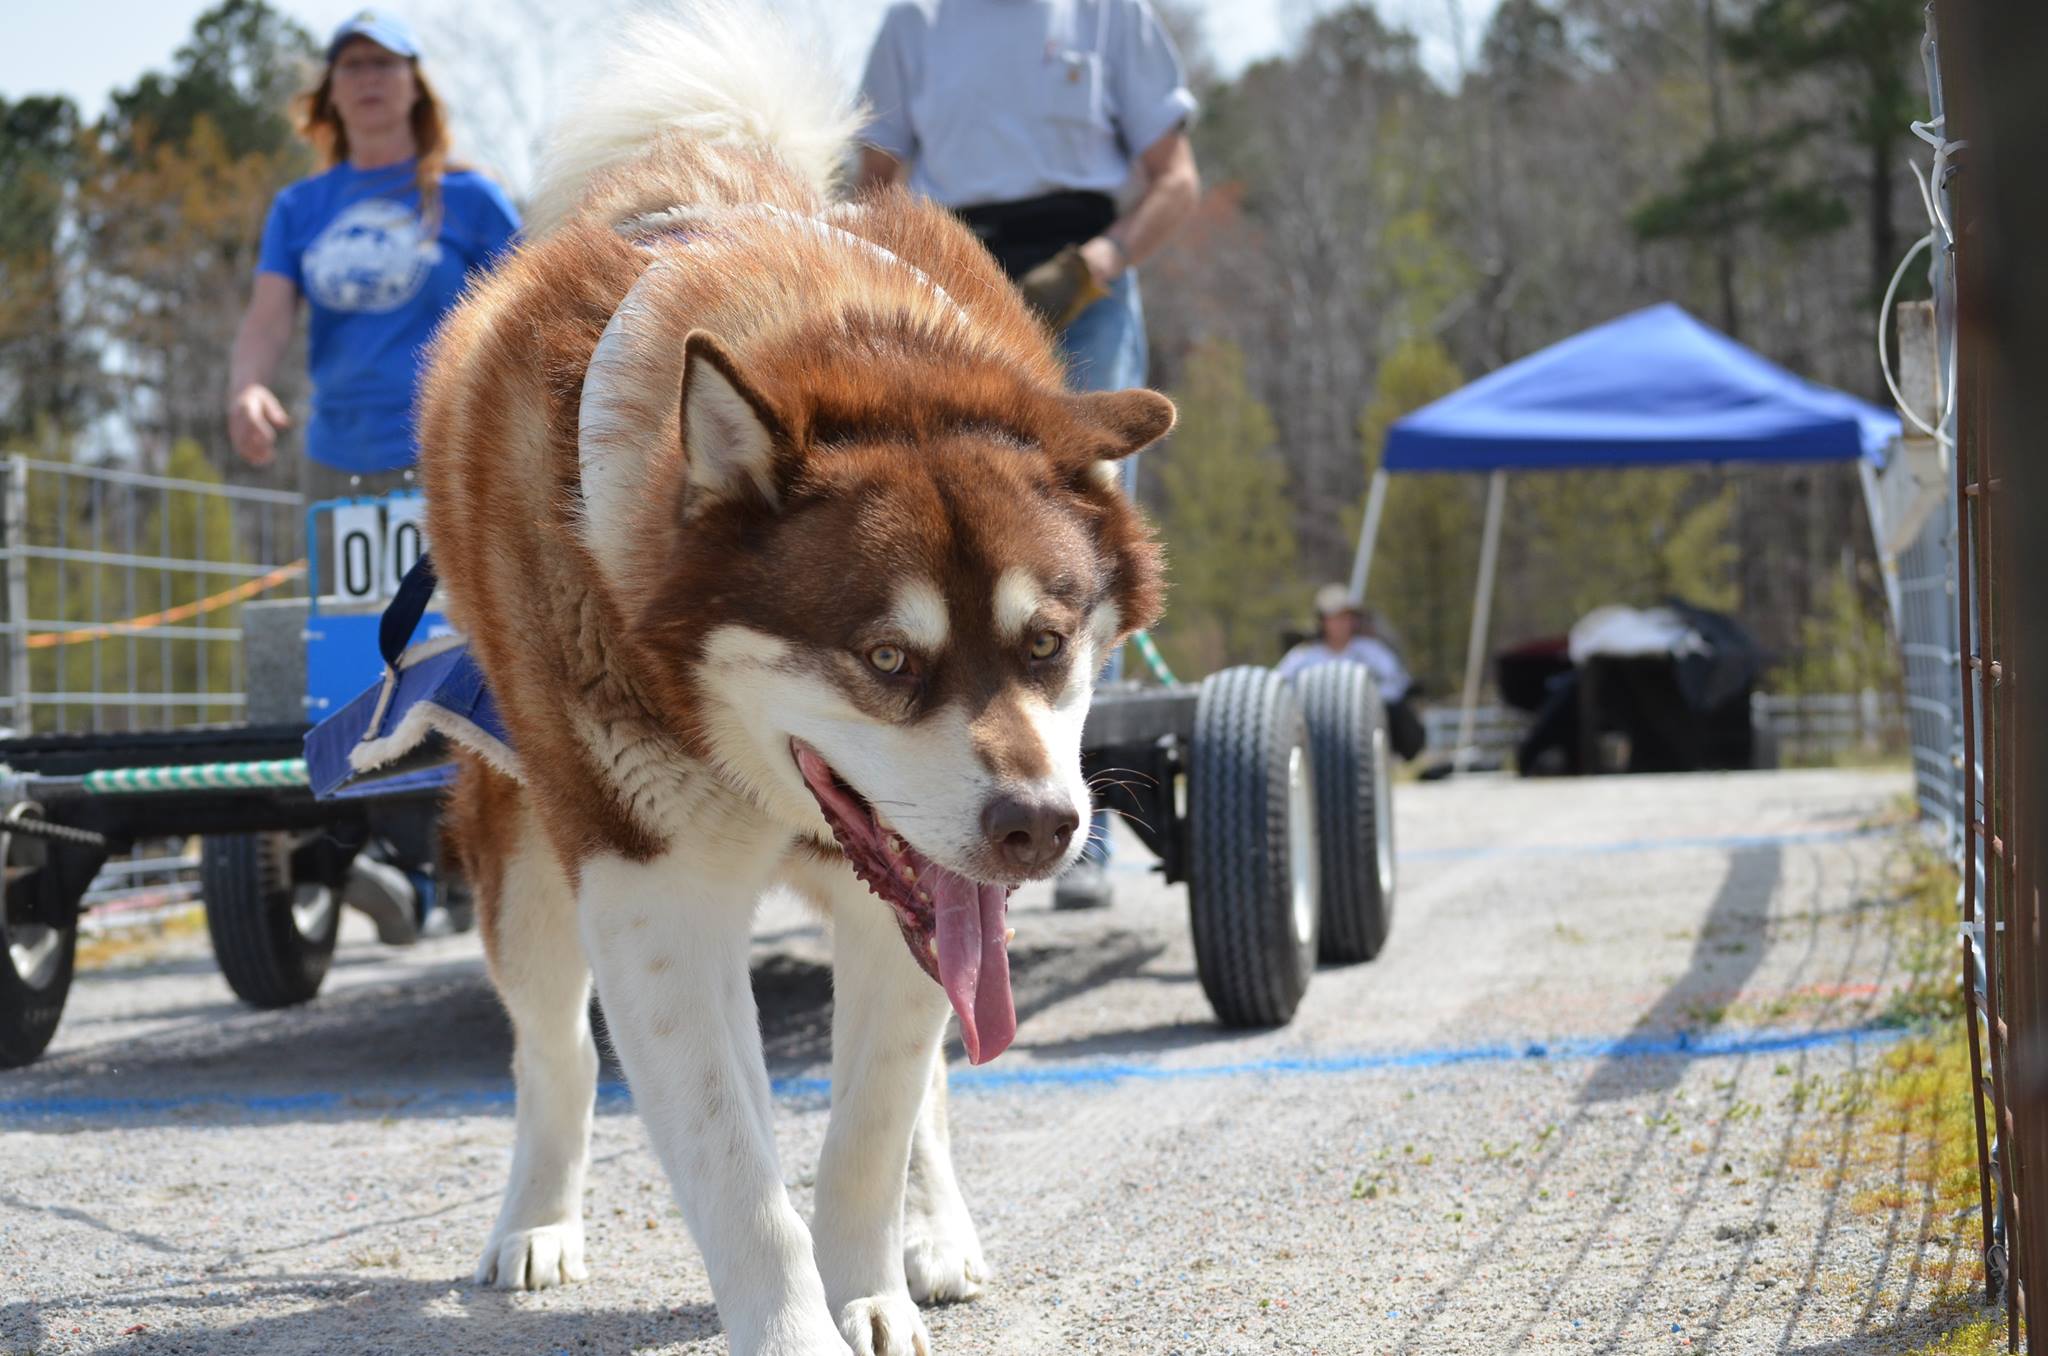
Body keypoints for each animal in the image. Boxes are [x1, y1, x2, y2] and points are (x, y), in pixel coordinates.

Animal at [419, 5, 1171, 1351]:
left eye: (1045, 642)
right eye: (885, 657)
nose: (1039, 827)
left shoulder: (900, 902)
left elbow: (872, 1124)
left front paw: (867, 1286)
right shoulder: (647, 887)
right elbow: (730, 1155)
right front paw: (790, 1319)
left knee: (925, 1077)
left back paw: (933, 1232)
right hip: (524, 848)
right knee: (553, 1051)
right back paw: (537, 1222)